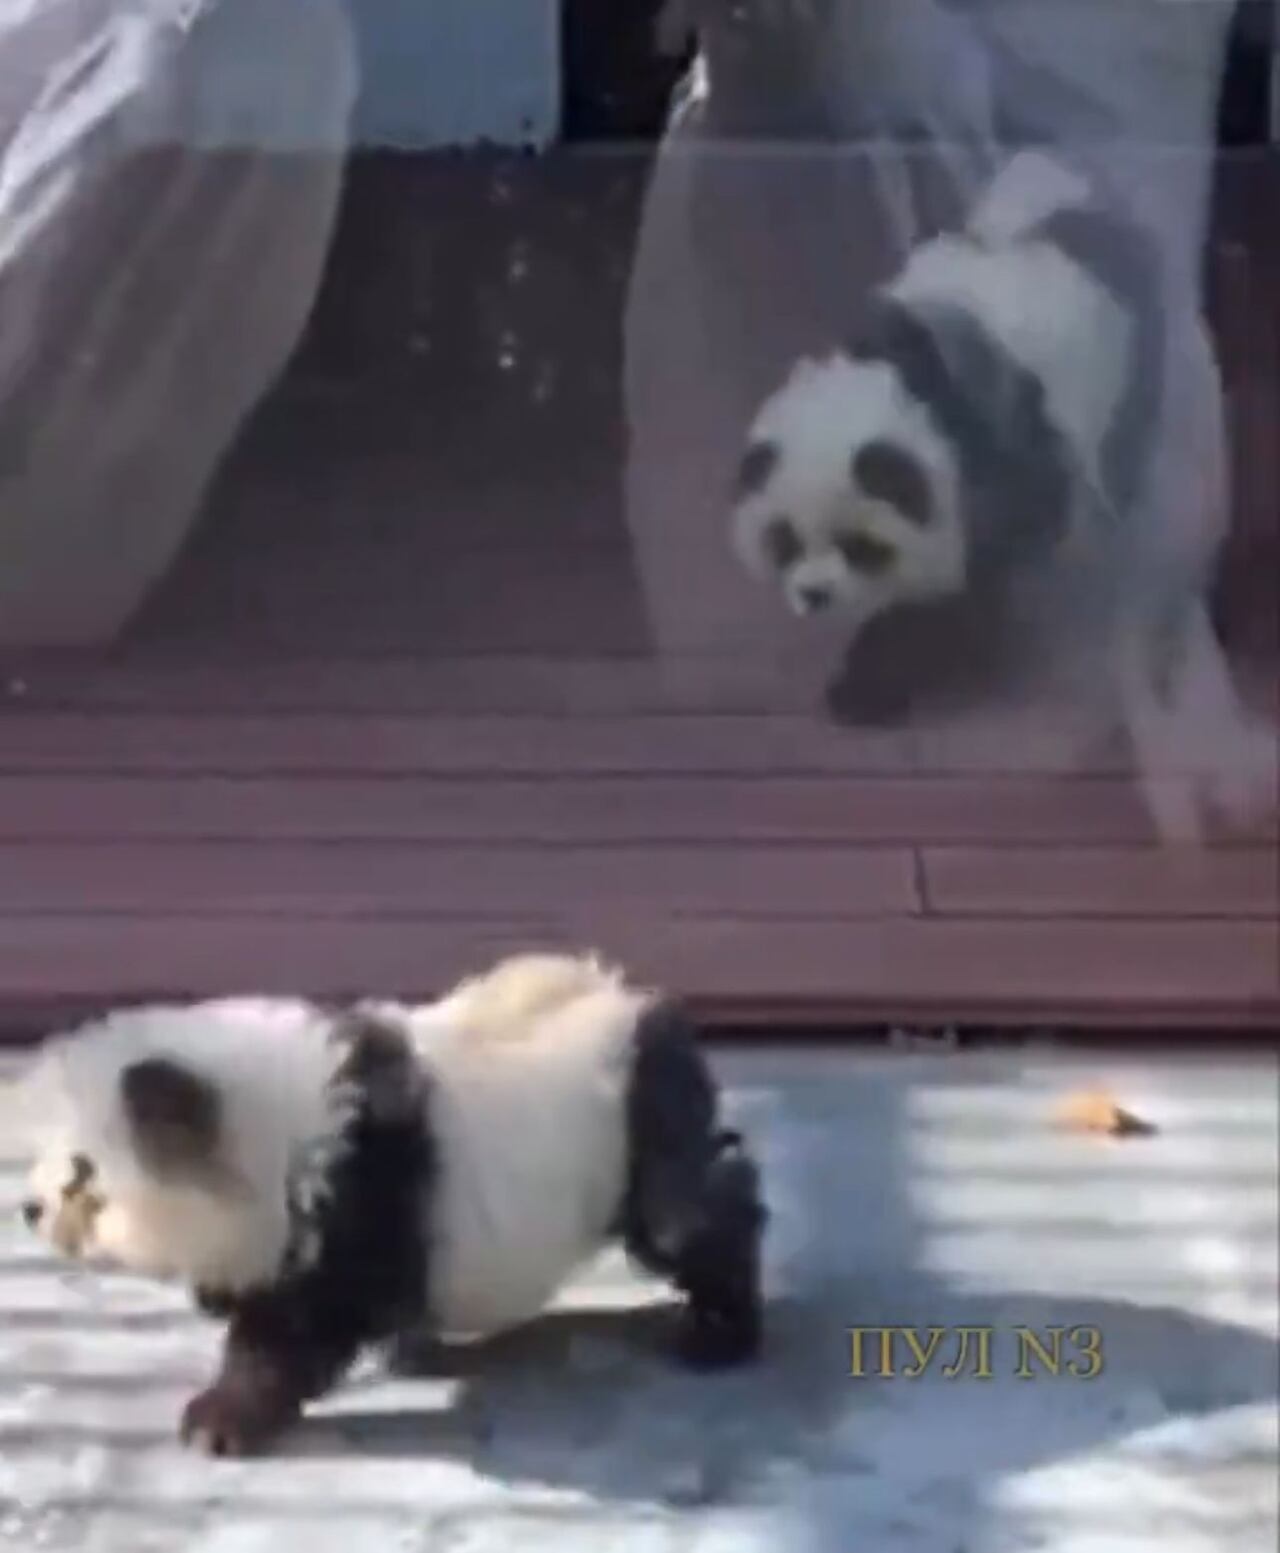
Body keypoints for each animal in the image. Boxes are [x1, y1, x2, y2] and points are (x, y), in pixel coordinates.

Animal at [16, 951, 766, 1457]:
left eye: (82, 1174)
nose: (27, 1210)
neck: (283, 1124)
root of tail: (635, 1000)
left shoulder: (357, 1192)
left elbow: (295, 1324)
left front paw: (218, 1419)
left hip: (638, 1125)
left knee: (689, 1214)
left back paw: (719, 1328)